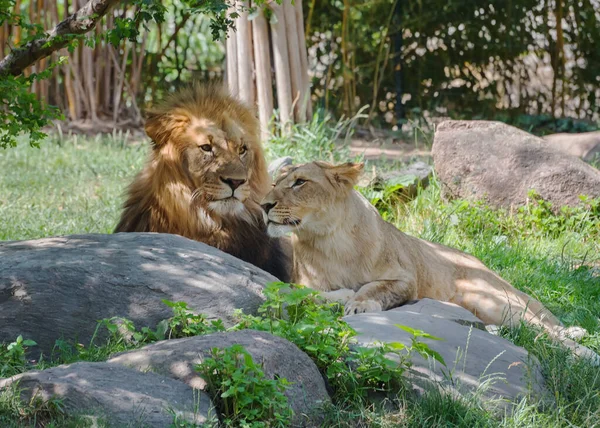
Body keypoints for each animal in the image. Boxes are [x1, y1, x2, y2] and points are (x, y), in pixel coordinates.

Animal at [262, 160, 600, 362]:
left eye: (300, 182)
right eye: (275, 182)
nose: (264, 204)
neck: (327, 238)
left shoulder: (405, 278)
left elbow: (373, 288)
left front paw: (358, 303)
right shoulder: (299, 283)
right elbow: (307, 296)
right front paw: (342, 296)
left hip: (487, 298)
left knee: (546, 332)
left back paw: (586, 353)